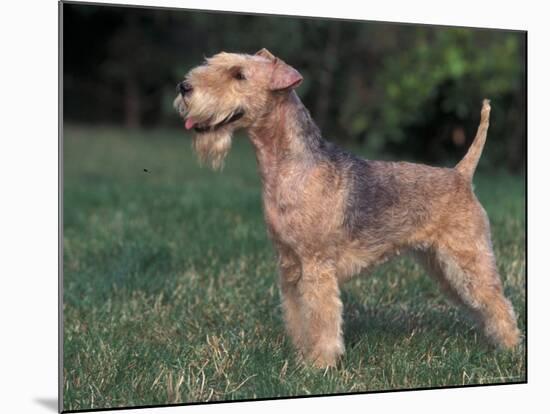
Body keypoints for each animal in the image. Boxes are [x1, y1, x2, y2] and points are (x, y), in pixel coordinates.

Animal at [176, 49, 520, 368]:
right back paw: (495, 343)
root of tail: (461, 174)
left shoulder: (316, 266)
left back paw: (511, 351)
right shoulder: (289, 265)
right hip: (442, 265)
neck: (290, 168)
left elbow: (322, 318)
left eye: (239, 75)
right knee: (485, 306)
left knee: (499, 303)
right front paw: (301, 355)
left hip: (467, 259)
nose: (184, 87)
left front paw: (319, 365)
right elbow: (298, 315)